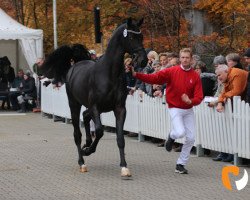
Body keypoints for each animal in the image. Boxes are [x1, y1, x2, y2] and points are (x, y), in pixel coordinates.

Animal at [41, 18, 147, 177]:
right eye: (131, 37)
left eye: (141, 36)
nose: (143, 60)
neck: (109, 74)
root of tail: (75, 66)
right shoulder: (96, 107)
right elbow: (99, 130)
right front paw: (88, 150)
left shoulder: (119, 108)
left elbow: (120, 137)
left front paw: (124, 167)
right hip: (75, 104)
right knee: (77, 133)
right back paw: (82, 161)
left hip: (92, 107)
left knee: (85, 116)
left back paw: (87, 143)